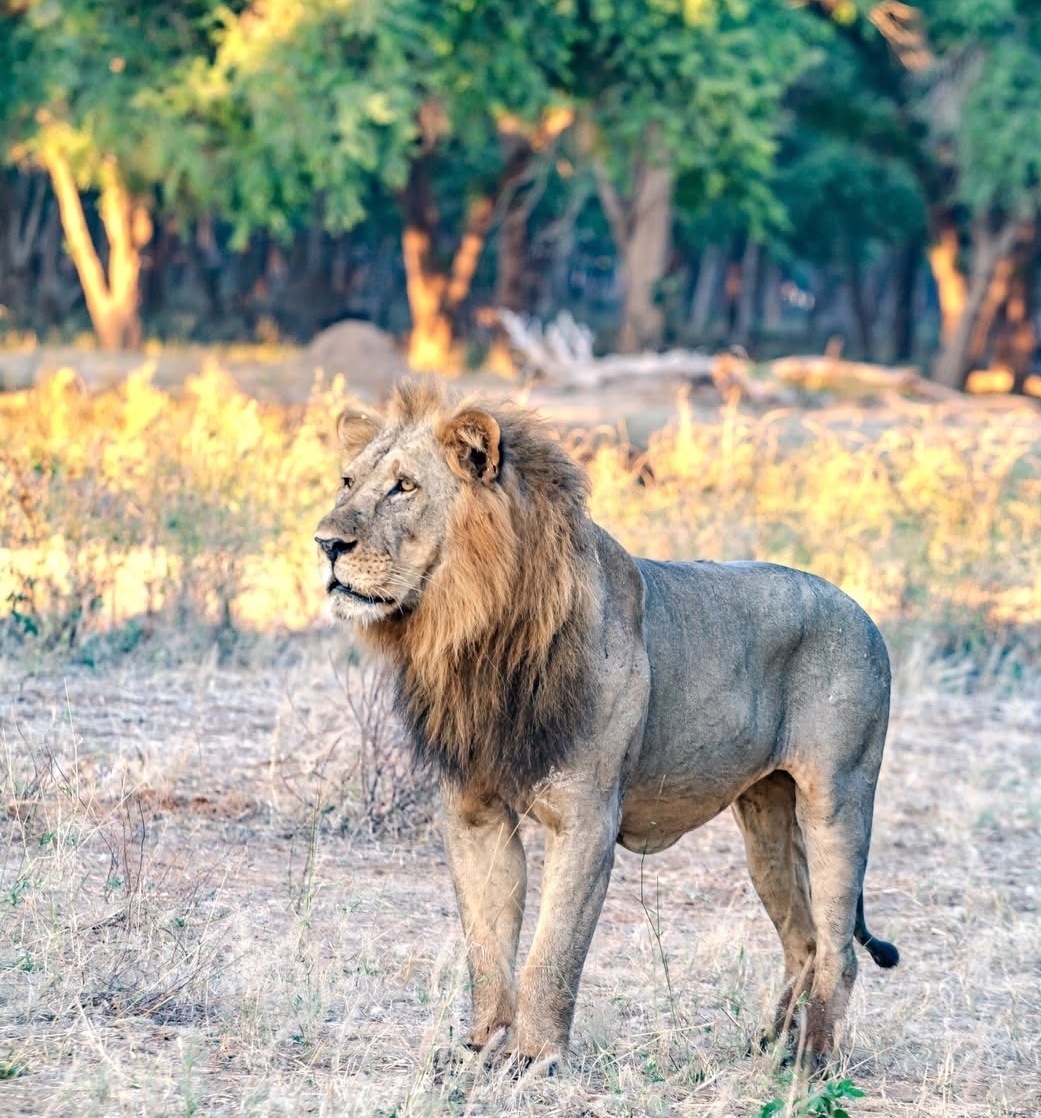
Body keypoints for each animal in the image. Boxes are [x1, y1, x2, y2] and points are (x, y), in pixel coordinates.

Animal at [315, 380, 898, 1072]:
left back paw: (811, 1065)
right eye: (348, 481)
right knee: (803, 938)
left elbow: (553, 953)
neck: (478, 635)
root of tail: (864, 613)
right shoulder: (475, 814)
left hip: (837, 800)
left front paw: (535, 1060)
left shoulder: (588, 818)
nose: (325, 543)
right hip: (766, 820)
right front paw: (482, 1047)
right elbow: (487, 946)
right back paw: (768, 1049)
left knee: (839, 948)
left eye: (404, 487)